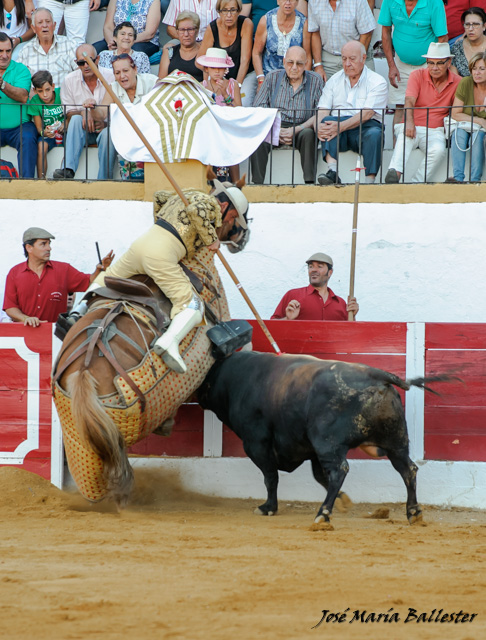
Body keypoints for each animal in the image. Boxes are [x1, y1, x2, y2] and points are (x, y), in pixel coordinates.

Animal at [197, 350, 452, 524]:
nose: (197, 396)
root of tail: (376, 375)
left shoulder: (256, 443)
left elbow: (271, 477)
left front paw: (268, 507)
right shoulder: (310, 450)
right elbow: (319, 476)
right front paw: (343, 501)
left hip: (329, 444)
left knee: (340, 470)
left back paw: (323, 514)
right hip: (395, 442)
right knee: (408, 469)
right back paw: (413, 512)